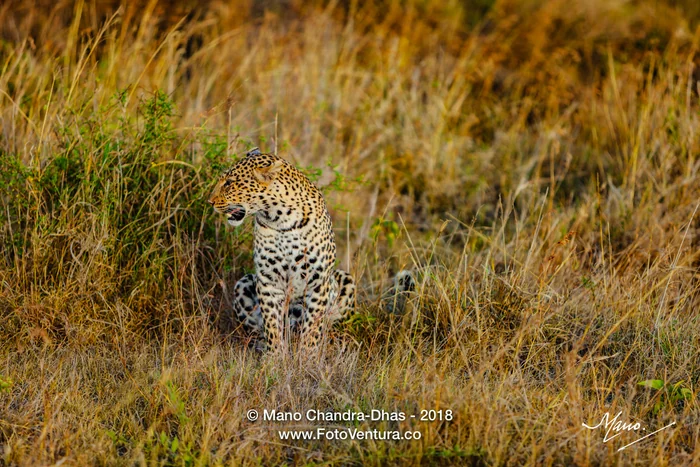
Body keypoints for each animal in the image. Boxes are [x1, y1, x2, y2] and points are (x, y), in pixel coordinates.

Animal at [208, 148, 356, 352]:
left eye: (229, 183)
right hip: (243, 283)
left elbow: (312, 327)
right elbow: (272, 325)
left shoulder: (318, 280)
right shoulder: (268, 280)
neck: (281, 218)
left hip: (345, 280)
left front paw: (307, 355)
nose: (210, 202)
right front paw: (275, 355)